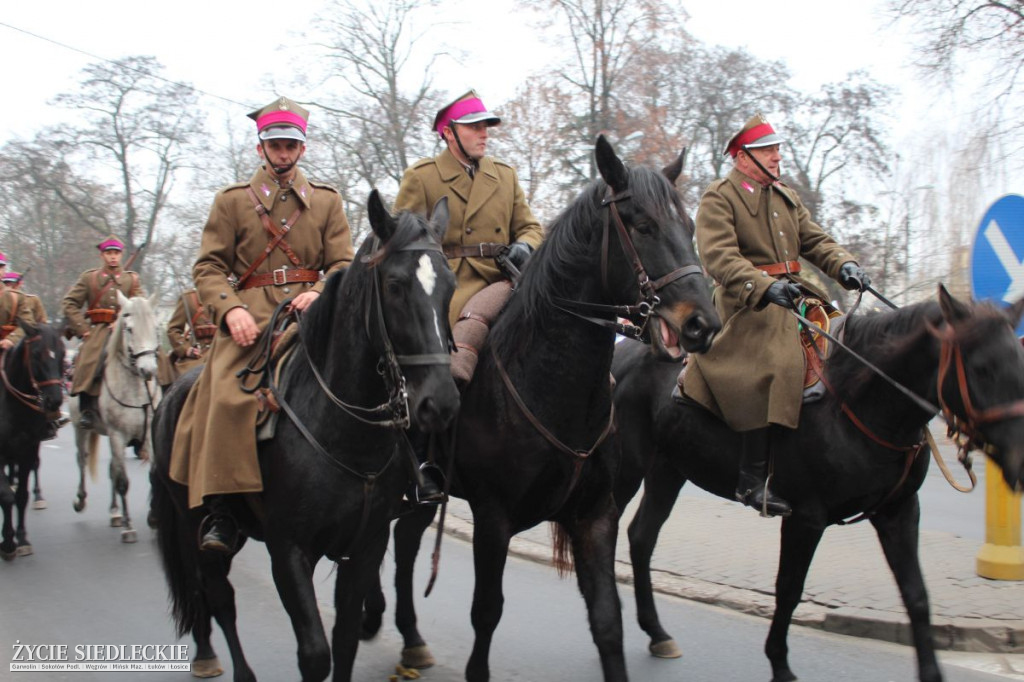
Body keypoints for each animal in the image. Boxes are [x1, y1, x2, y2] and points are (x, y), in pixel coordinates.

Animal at [0, 321, 65, 561]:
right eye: (36, 355)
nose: (54, 401)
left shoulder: (28, 450)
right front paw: (8, 543)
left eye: (62, 353)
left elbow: (20, 496)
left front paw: (22, 539)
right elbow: (6, 497)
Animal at [72, 292, 161, 540]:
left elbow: (152, 474)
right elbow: (123, 481)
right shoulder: (117, 435)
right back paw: (82, 500)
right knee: (82, 460)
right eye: (129, 328)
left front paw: (154, 518)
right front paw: (129, 528)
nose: (148, 370)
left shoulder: (148, 433)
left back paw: (115, 512)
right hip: (80, 428)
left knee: (111, 467)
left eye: (155, 327)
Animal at [149, 189, 458, 679]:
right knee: (216, 597)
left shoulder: (366, 547)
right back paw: (223, 662)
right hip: (193, 525)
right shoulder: (290, 552)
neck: (345, 432)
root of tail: (173, 393)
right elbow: (315, 653)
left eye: (449, 285)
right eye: (394, 285)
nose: (440, 402)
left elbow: (345, 640)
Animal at [364, 137, 724, 679]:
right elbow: (486, 612)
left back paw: (411, 639)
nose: (703, 323)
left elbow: (607, 620)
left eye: (688, 226)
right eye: (642, 225)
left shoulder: (596, 516)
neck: (551, 383)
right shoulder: (493, 520)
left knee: (405, 544)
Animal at [606, 284, 1024, 679]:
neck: (861, 398)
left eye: (1018, 362)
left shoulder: (899, 511)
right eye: (982, 368)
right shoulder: (806, 518)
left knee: (641, 537)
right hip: (628, 469)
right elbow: (789, 588)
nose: (1019, 464)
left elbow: (916, 594)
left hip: (668, 470)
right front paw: (779, 663)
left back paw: (657, 633)